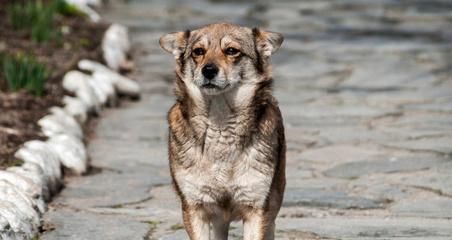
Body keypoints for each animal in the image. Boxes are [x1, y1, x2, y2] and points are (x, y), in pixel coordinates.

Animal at [160, 23, 286, 240]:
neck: (220, 125)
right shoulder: (195, 207)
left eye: (231, 51)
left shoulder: (256, 207)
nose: (208, 70)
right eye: (198, 52)